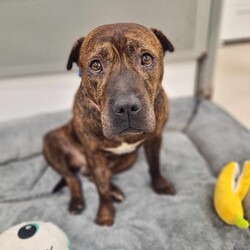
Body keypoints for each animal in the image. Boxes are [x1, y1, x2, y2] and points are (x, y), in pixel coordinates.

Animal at [43, 23, 176, 227]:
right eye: (95, 65)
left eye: (146, 58)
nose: (126, 106)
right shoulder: (95, 154)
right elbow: (101, 189)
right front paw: (105, 214)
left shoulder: (155, 138)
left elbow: (154, 164)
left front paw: (160, 184)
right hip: (52, 144)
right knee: (73, 178)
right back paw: (77, 202)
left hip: (129, 158)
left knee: (96, 176)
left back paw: (115, 191)